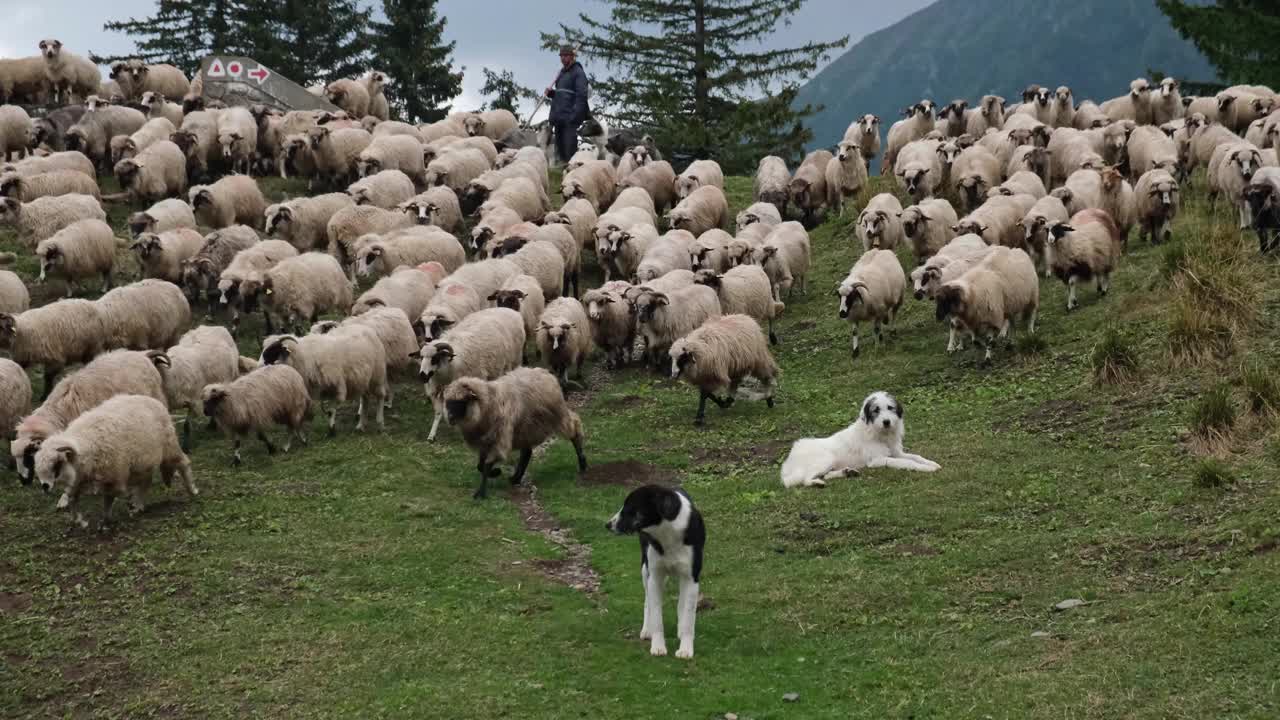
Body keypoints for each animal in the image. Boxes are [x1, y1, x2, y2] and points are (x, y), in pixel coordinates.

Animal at [35, 392, 195, 527]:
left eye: (57, 464)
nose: (45, 486)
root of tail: (151, 399)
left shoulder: (113, 477)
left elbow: (108, 500)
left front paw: (105, 521)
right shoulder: (78, 480)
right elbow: (74, 499)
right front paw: (79, 520)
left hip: (169, 447)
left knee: (183, 463)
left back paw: (192, 490)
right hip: (143, 461)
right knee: (146, 482)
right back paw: (138, 506)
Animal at [414, 304, 524, 440]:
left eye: (435, 358)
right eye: (421, 357)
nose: (423, 376)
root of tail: (509, 310)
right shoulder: (438, 389)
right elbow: (438, 413)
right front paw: (431, 435)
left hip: (513, 360)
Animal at [437, 366, 583, 497]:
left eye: (461, 402)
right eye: (448, 402)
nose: (450, 418)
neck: (489, 404)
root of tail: (545, 372)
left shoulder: (500, 438)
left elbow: (486, 466)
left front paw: (481, 492)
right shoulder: (485, 442)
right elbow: (480, 465)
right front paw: (495, 473)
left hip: (558, 417)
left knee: (575, 430)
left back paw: (583, 463)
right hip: (526, 428)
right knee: (526, 453)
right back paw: (515, 478)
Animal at [604, 481, 706, 655]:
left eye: (630, 507)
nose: (608, 525)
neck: (667, 534)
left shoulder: (691, 578)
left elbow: (688, 615)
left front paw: (685, 649)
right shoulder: (655, 576)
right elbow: (657, 616)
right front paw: (658, 646)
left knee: (681, 603)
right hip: (645, 570)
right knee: (648, 601)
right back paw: (647, 630)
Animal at [778, 389, 942, 484]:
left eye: (890, 408)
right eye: (876, 410)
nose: (886, 422)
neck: (879, 433)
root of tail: (790, 457)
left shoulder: (897, 452)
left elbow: (915, 456)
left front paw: (931, 463)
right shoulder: (877, 460)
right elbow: (906, 462)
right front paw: (925, 468)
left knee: (825, 475)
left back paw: (847, 473)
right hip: (826, 459)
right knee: (804, 480)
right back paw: (816, 483)